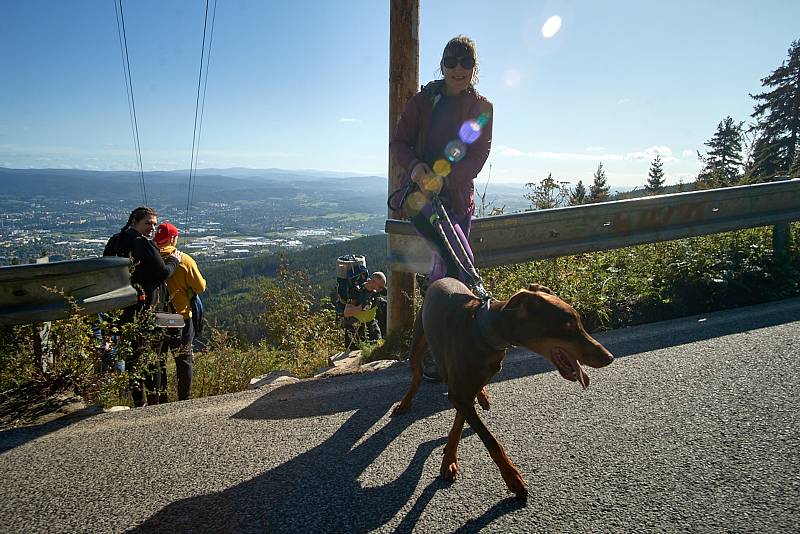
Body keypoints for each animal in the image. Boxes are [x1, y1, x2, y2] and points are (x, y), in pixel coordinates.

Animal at [392, 278, 612, 500]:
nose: (609, 357)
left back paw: (482, 396)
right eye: (567, 327)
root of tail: (440, 279)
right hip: (418, 343)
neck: (484, 330)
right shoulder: (459, 392)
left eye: (580, 322)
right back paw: (405, 402)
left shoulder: (463, 392)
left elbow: (459, 423)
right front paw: (513, 478)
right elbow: (491, 441)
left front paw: (449, 458)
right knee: (417, 375)